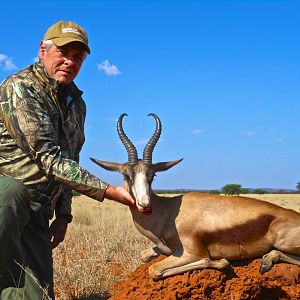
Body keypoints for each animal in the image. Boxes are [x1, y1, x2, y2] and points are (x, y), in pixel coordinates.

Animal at [91, 113, 300, 280]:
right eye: (126, 175)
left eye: (153, 176)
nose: (145, 204)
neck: (167, 213)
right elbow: (144, 256)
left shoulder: (191, 253)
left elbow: (155, 270)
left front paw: (221, 263)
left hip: (283, 242)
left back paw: (266, 261)